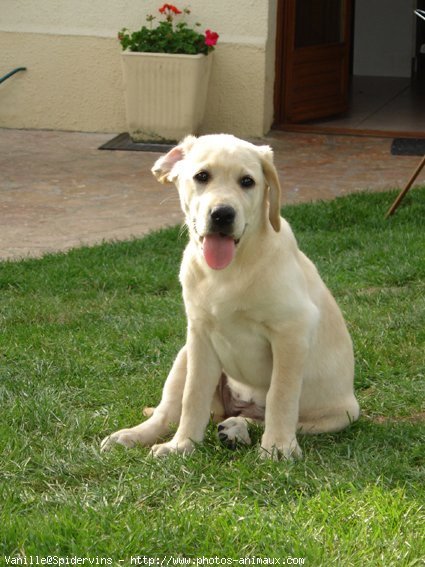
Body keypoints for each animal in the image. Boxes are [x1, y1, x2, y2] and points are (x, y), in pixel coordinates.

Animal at [101, 135, 360, 460]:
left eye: (247, 181)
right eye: (202, 176)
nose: (222, 214)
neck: (229, 270)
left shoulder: (291, 330)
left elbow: (281, 395)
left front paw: (278, 448)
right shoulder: (199, 334)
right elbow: (193, 396)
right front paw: (183, 445)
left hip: (341, 414)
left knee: (265, 417)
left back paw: (238, 428)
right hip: (184, 354)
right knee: (167, 413)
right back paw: (135, 436)